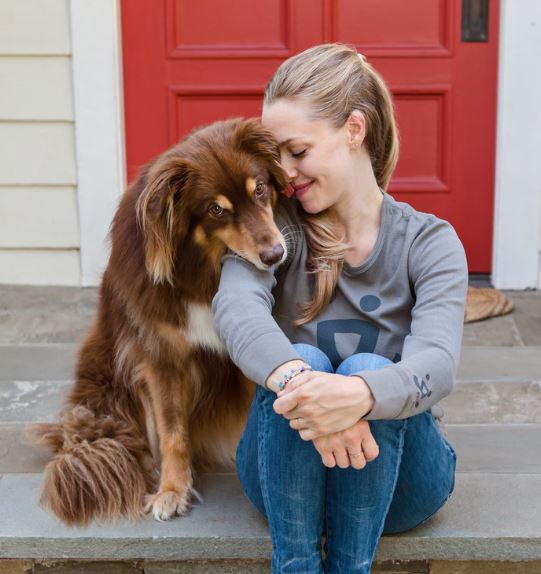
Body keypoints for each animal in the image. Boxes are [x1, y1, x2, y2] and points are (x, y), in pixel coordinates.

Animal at [30, 119, 286, 528]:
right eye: (217, 209)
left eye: (259, 189)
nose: (275, 254)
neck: (200, 268)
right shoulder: (161, 357)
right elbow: (171, 430)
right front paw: (172, 489)